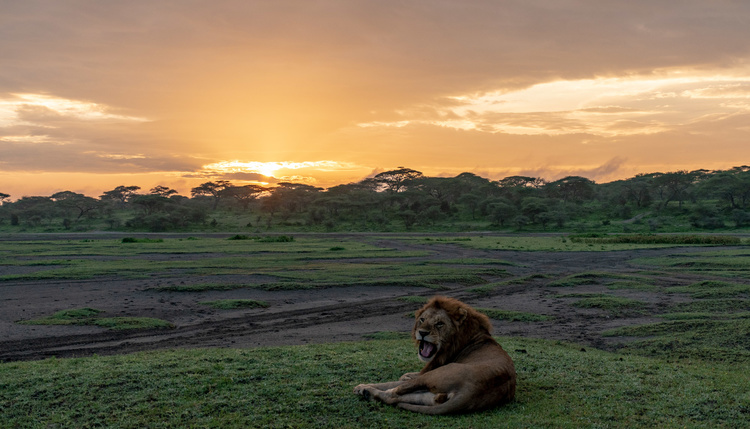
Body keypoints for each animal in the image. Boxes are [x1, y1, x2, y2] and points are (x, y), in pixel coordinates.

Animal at [354, 296, 516, 412]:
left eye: (439, 323)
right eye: (422, 319)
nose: (422, 333)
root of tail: (471, 391)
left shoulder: (430, 369)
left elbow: (393, 382)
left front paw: (362, 386)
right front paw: (406, 374)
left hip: (434, 375)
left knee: (393, 393)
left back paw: (366, 391)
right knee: (411, 398)